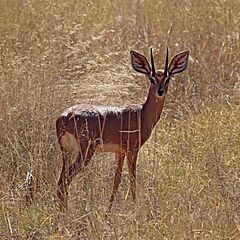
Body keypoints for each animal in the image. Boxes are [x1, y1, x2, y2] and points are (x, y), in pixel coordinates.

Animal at [56, 47, 189, 210]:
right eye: (152, 79)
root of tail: (66, 116)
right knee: (64, 182)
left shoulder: (119, 152)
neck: (141, 114)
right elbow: (132, 179)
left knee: (61, 182)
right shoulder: (132, 150)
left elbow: (117, 180)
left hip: (67, 153)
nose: (160, 91)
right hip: (84, 153)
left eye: (167, 79)